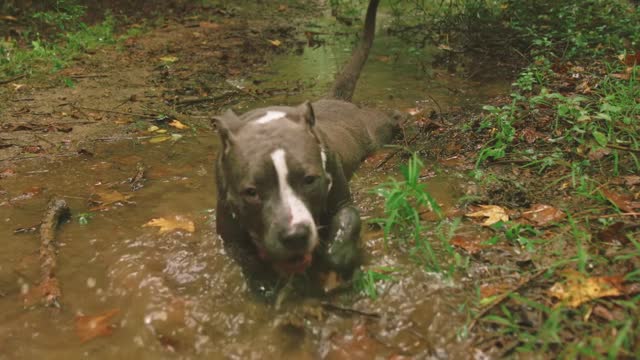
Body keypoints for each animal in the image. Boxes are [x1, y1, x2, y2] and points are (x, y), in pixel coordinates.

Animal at [216, 0, 396, 282]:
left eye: (310, 180)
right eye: (251, 192)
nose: (295, 235)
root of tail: (334, 98)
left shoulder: (342, 201)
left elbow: (348, 221)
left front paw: (338, 257)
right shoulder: (229, 235)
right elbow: (249, 261)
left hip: (375, 129)